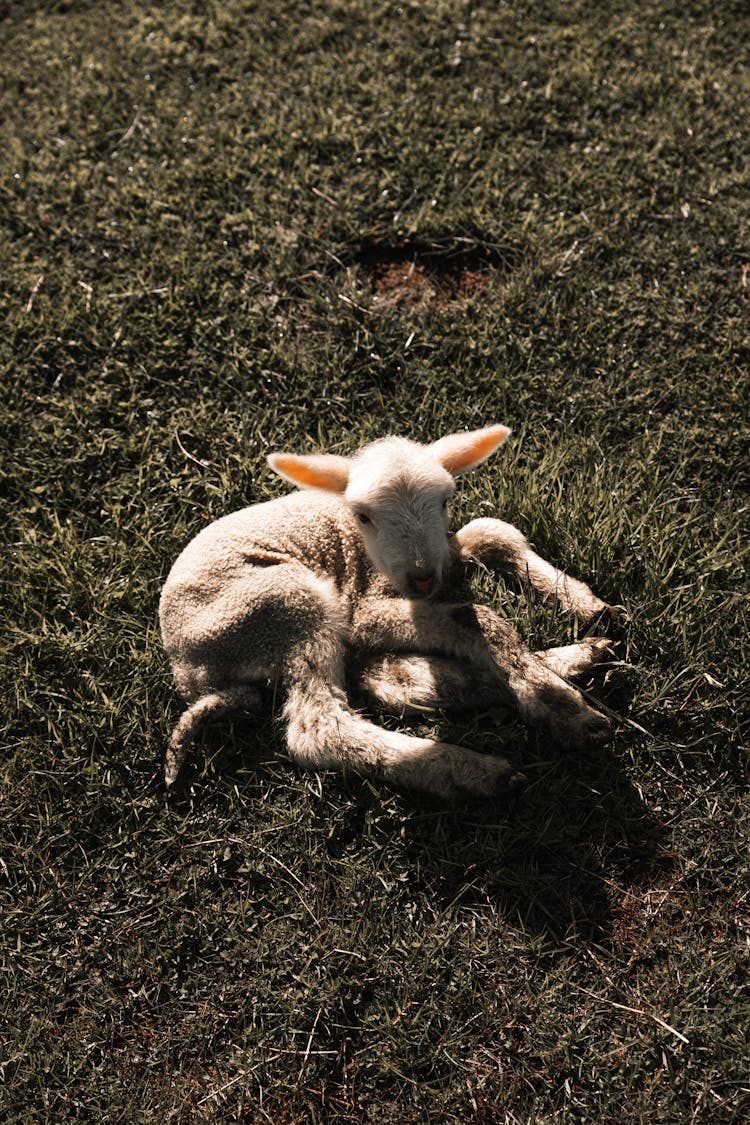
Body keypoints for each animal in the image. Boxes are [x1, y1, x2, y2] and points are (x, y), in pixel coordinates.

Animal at [158, 423, 616, 801]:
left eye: (446, 501)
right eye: (363, 516)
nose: (422, 578)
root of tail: (188, 673)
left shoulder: (443, 554)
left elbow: (491, 531)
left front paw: (581, 602)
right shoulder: (359, 608)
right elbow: (476, 617)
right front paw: (563, 708)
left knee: (404, 682)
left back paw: (577, 657)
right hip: (279, 605)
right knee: (319, 726)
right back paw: (471, 770)